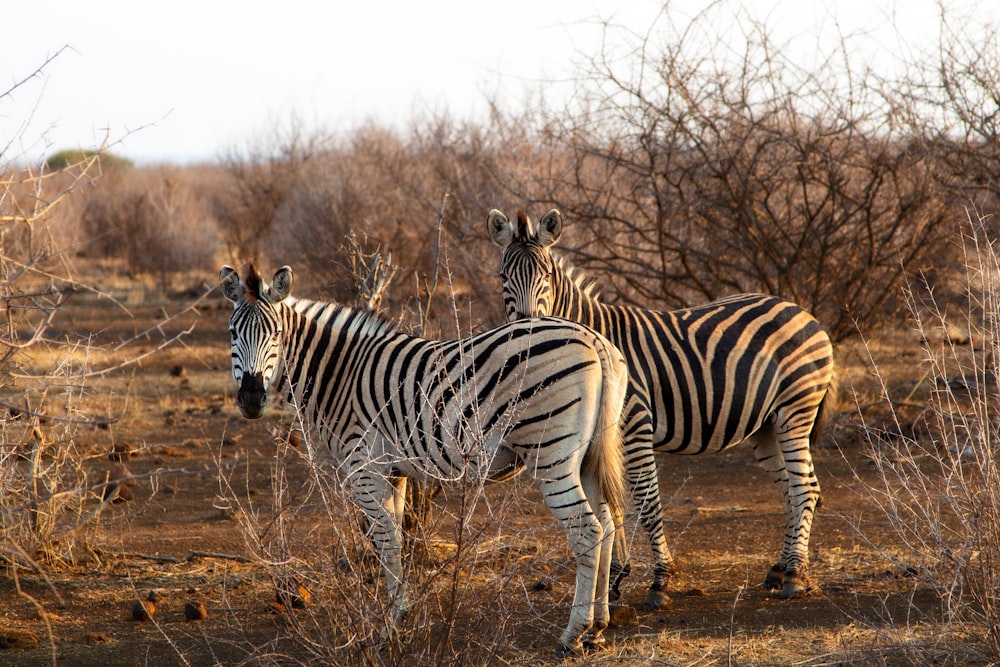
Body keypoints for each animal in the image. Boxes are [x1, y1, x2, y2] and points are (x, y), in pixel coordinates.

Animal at [219, 264, 624, 656]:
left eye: (275, 334)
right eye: (233, 333)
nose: (252, 398)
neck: (338, 375)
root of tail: (594, 339)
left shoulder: (364, 468)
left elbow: (385, 542)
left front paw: (391, 626)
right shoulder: (393, 471)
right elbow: (397, 538)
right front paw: (402, 615)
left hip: (551, 453)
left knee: (587, 529)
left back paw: (573, 634)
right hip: (588, 456)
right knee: (607, 524)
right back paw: (598, 627)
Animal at [484, 209, 836, 612]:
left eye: (547, 277)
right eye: (503, 278)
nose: (526, 333)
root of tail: (801, 311)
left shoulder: (635, 425)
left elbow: (646, 504)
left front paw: (659, 581)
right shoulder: (601, 437)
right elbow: (610, 504)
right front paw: (615, 579)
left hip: (796, 410)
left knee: (804, 488)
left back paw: (794, 575)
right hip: (767, 427)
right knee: (793, 490)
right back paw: (780, 569)